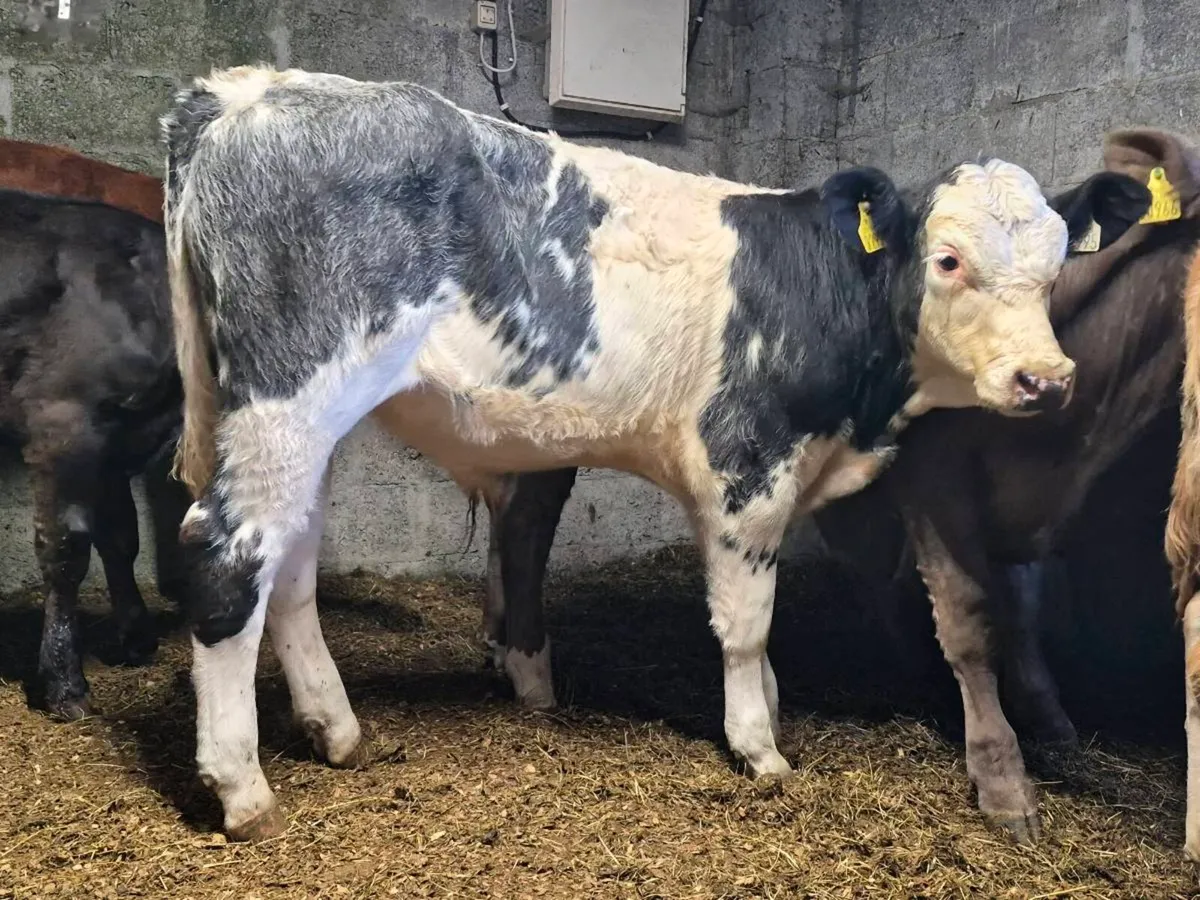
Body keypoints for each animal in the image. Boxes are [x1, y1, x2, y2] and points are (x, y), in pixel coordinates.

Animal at [0, 188, 188, 721]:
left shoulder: (116, 441)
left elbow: (121, 536)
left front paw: (136, 636)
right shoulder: (63, 420)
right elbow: (66, 550)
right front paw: (64, 682)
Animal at [162, 64, 1109, 842]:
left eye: (1056, 268)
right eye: (947, 260)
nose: (1046, 377)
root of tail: (244, 91)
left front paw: (768, 714)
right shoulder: (746, 465)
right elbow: (745, 625)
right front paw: (759, 750)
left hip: (290, 420)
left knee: (289, 561)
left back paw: (338, 732)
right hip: (290, 394)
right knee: (225, 553)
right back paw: (242, 788)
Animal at [486, 128, 1190, 845]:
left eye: (1054, 267)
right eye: (947, 262)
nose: (1043, 379)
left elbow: (1017, 612)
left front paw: (1049, 726)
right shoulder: (873, 479)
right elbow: (954, 621)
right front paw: (999, 779)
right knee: (525, 526)